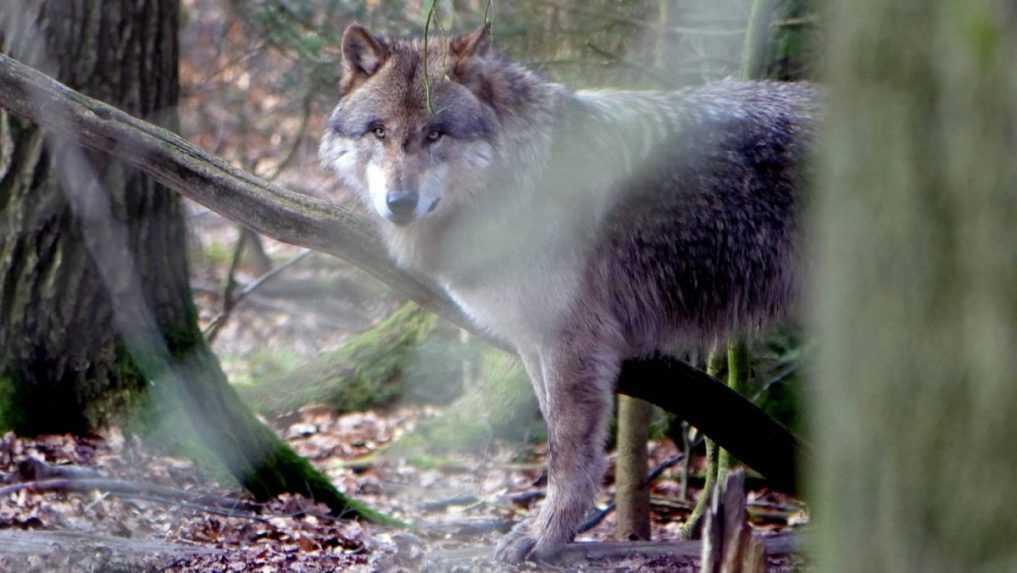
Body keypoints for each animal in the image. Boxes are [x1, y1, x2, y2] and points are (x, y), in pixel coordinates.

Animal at [317, 23, 817, 565]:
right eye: (378, 131)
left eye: (436, 133)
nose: (399, 203)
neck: (514, 180)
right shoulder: (533, 342)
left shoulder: (572, 342)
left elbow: (567, 452)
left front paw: (547, 536)